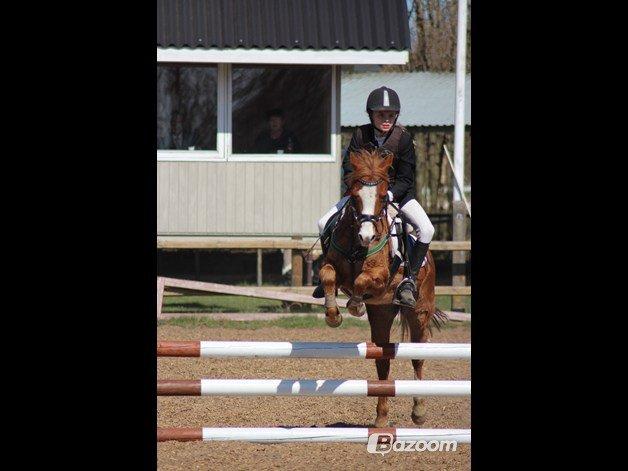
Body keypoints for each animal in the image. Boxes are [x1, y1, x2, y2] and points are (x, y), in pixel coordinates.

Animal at [316, 149, 444, 430]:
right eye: (354, 196)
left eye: (384, 196)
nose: (367, 237)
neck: (357, 245)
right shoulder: (334, 267)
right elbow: (328, 276)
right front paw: (333, 315)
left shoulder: (380, 277)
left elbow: (361, 282)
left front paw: (354, 306)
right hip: (382, 312)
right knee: (382, 359)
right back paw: (382, 417)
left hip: (419, 311)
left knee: (418, 356)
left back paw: (418, 411)